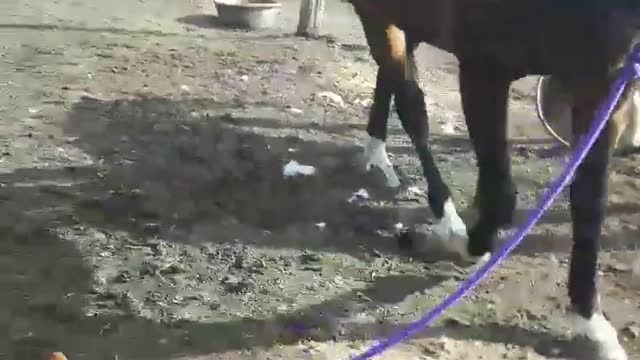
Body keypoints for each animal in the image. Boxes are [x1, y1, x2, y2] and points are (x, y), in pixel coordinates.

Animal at [352, 0, 636, 360]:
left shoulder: (601, 84)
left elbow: (590, 206)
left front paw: (589, 321)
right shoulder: (483, 67)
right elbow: (501, 193)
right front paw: (472, 244)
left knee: (395, 81)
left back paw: (379, 156)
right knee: (409, 100)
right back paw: (444, 217)